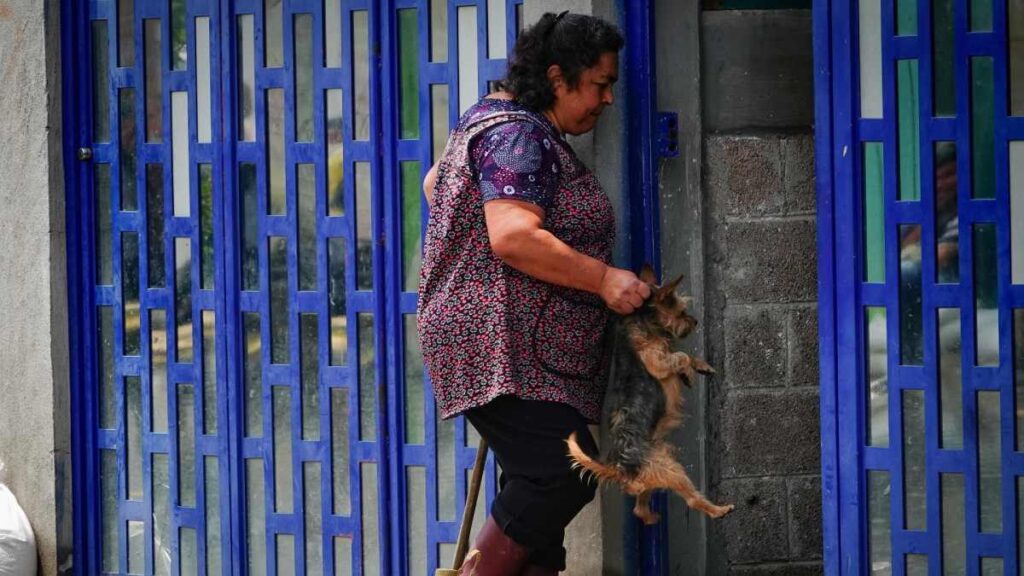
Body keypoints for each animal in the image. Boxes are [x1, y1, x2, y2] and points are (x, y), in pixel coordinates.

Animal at [569, 266, 729, 522]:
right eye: (681, 311)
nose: (694, 321)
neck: (641, 319)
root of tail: (617, 467)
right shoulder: (656, 361)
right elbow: (681, 355)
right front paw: (687, 373)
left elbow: (686, 355)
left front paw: (701, 366)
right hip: (671, 469)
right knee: (692, 500)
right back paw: (719, 510)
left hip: (653, 474)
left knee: (639, 508)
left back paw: (651, 517)